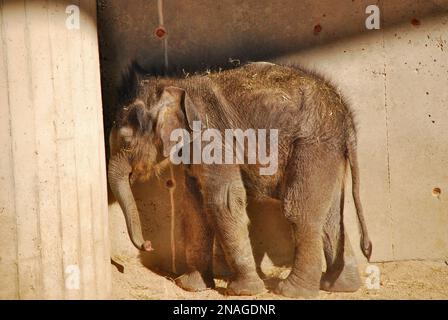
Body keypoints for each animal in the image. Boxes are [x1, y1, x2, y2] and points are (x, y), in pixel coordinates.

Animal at [107, 60, 372, 298]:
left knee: (300, 212)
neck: (176, 85)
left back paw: (291, 291)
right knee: (330, 216)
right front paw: (191, 286)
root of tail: (346, 117)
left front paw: (243, 291)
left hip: (312, 145)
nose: (148, 245)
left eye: (126, 141)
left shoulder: (212, 139)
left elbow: (223, 202)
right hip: (330, 151)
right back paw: (339, 286)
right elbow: (195, 207)